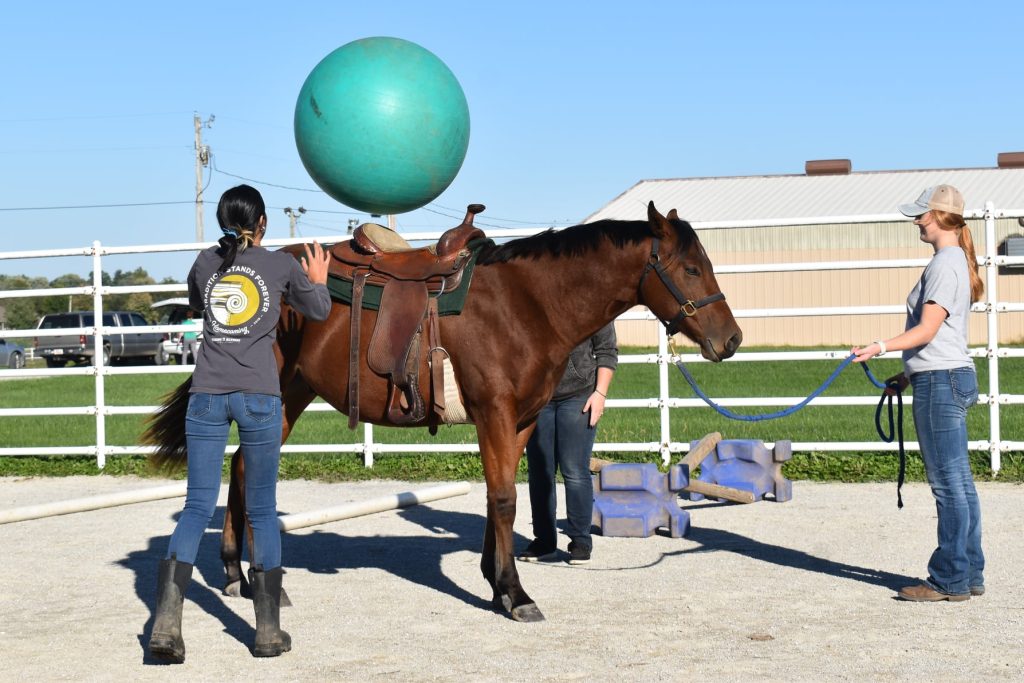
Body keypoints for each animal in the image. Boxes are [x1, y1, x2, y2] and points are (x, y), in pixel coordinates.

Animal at [145, 201, 742, 623]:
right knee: (247, 468)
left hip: (288, 394)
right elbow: (503, 500)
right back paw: (244, 577)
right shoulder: (495, 414)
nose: (731, 340)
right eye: (691, 268)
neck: (527, 303)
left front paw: (495, 583)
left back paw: (239, 577)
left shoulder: (520, 421)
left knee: (244, 468)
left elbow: (499, 496)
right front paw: (514, 594)